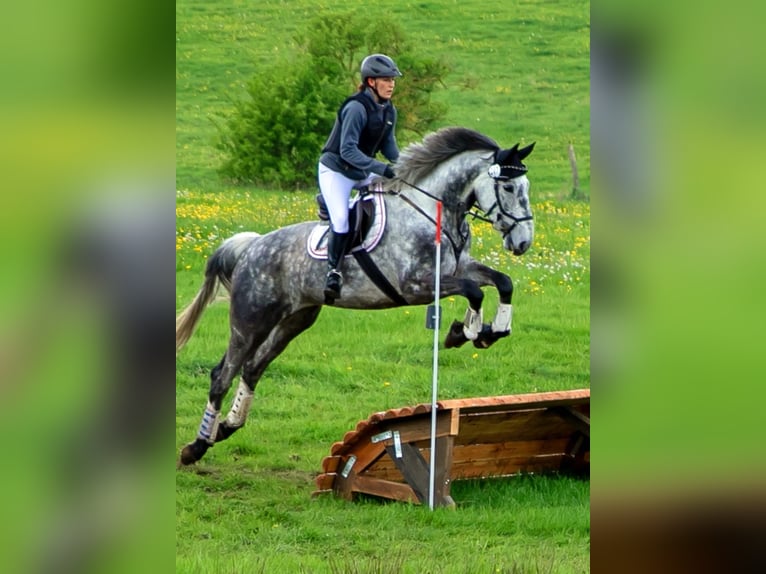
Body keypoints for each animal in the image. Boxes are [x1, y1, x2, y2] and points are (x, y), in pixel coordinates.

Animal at [176, 126, 535, 465]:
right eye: (508, 188)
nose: (522, 243)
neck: (432, 213)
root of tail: (251, 247)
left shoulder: (460, 269)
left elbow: (503, 283)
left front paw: (492, 330)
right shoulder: (416, 286)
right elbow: (474, 291)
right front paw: (467, 332)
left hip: (295, 319)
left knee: (252, 368)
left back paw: (227, 427)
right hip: (251, 321)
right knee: (222, 375)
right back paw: (196, 446)